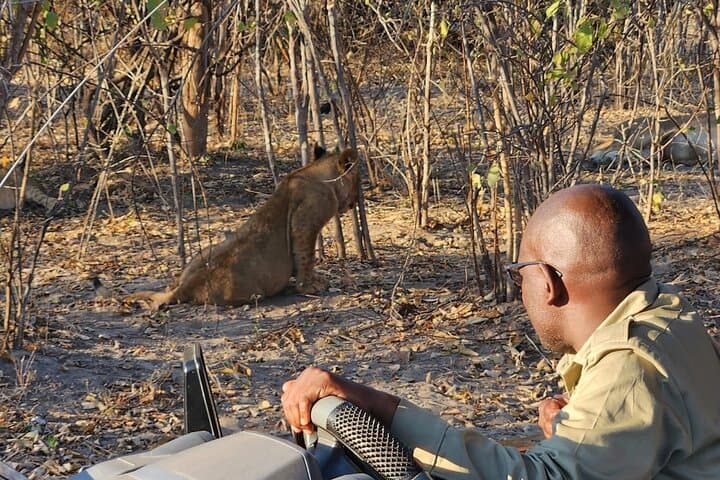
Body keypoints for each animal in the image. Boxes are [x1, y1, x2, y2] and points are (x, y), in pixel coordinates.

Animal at [126, 146, 360, 309]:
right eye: (358, 180)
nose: (357, 199)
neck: (317, 174)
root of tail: (186, 286)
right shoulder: (306, 223)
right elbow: (306, 258)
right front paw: (311, 286)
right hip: (251, 291)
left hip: (203, 253)